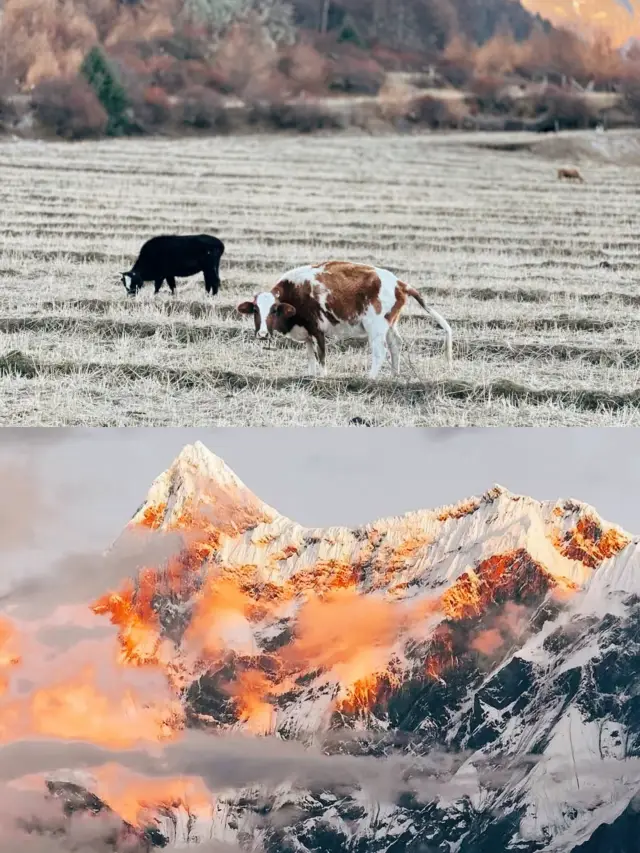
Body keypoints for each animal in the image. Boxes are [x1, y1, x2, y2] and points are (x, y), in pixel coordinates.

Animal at [235, 260, 450, 380]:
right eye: (255, 310)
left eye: (274, 310)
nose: (262, 334)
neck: (295, 294)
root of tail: (400, 283)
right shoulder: (307, 335)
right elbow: (310, 357)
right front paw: (310, 377)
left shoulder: (317, 330)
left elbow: (321, 358)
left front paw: (322, 379)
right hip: (390, 325)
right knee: (395, 345)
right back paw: (394, 376)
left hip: (376, 328)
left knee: (380, 353)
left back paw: (370, 379)